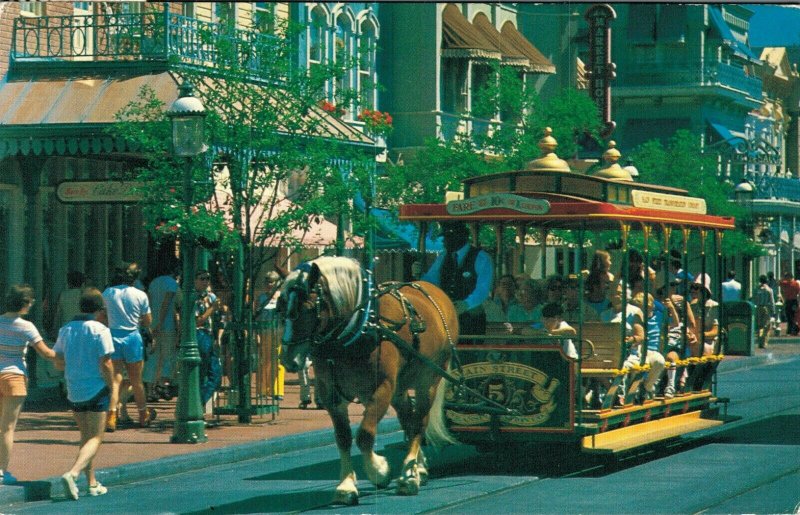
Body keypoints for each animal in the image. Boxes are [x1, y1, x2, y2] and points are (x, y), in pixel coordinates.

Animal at [280, 256, 456, 506]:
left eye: (307, 309)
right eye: (281, 306)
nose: (288, 359)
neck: (357, 329)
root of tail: (437, 294)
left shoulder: (382, 388)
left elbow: (364, 434)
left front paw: (380, 471)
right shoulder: (331, 394)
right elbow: (343, 438)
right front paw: (346, 486)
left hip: (429, 380)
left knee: (419, 422)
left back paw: (409, 477)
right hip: (400, 388)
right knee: (408, 420)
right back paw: (417, 469)